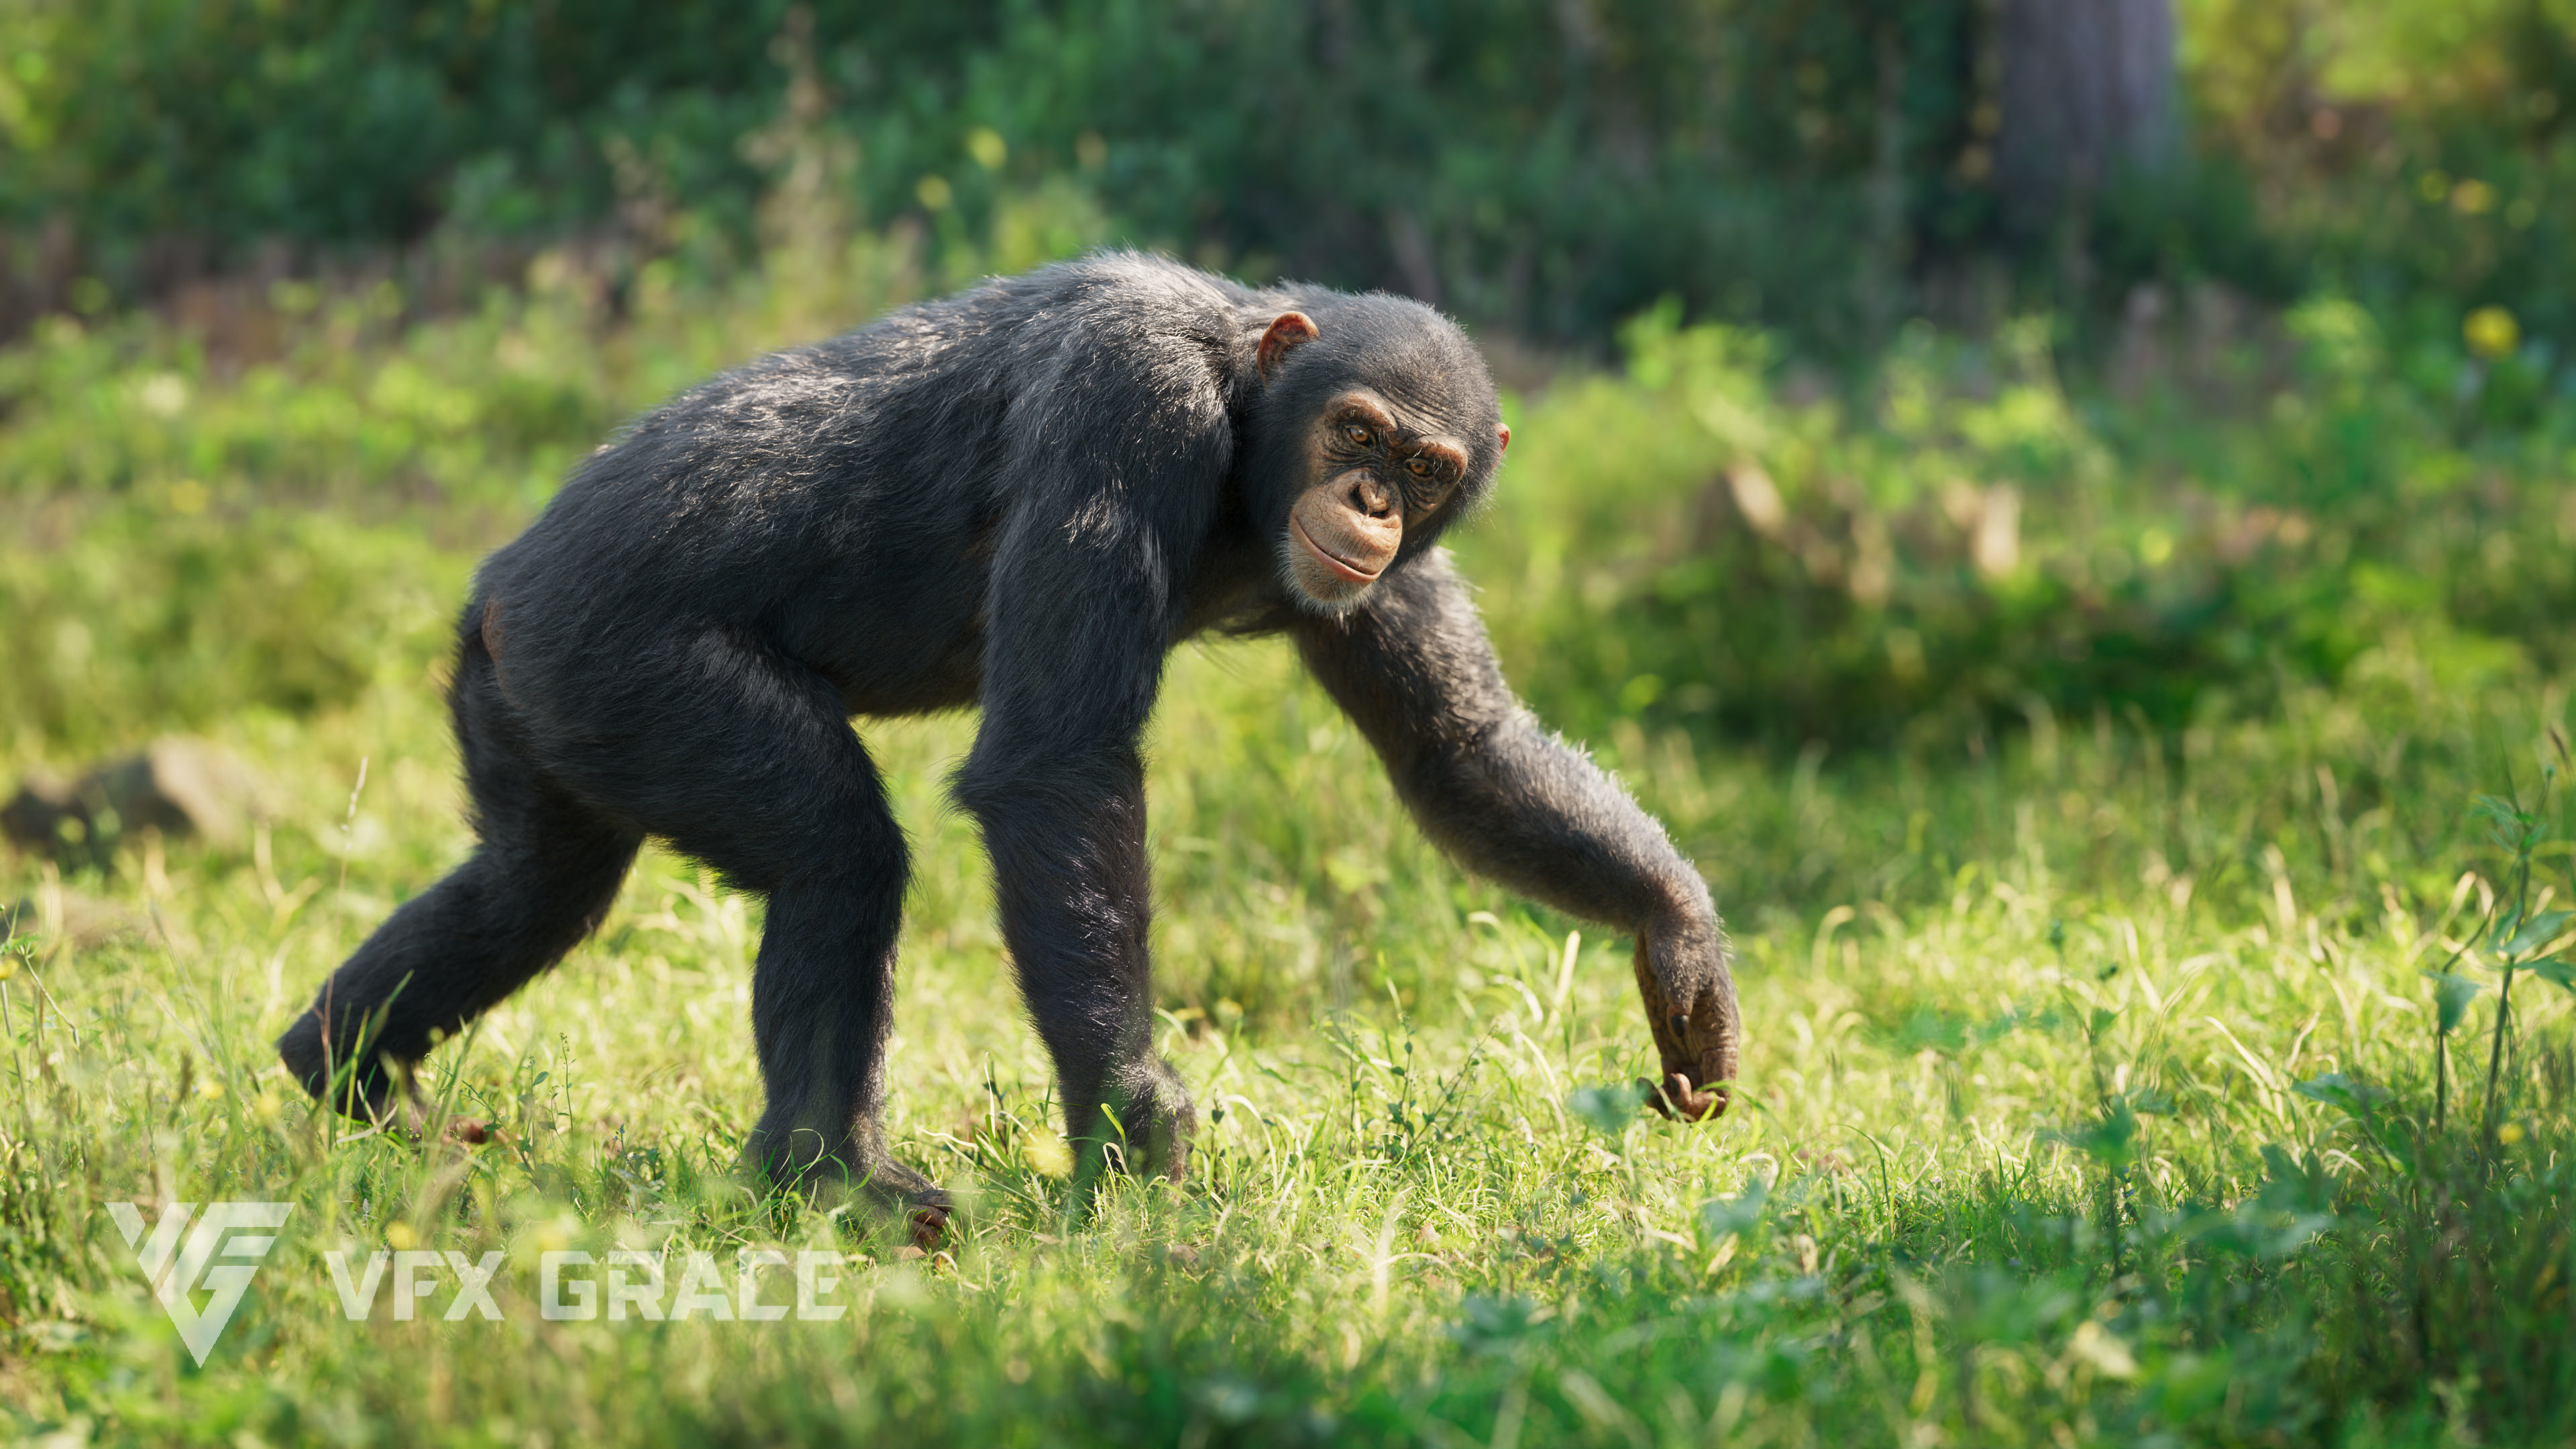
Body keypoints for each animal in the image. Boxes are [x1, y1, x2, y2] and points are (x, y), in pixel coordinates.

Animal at [278, 253, 1741, 1244]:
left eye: (1430, 468)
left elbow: (1462, 749)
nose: (1377, 499)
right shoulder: (1128, 404)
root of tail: (497, 588)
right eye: (1359, 431)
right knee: (835, 854)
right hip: (624, 666)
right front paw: (1135, 1125)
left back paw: (347, 1070)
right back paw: (834, 1179)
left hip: (539, 714)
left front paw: (1680, 942)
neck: (1244, 418)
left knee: (533, 888)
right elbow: (1059, 767)